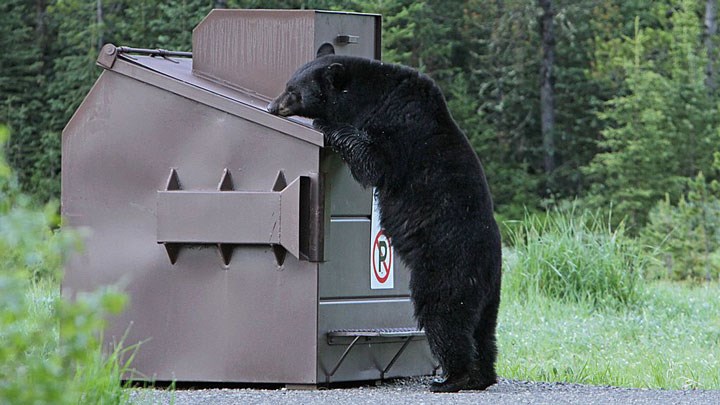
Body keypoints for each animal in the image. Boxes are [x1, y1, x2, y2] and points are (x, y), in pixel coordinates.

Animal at [268, 45, 500, 392]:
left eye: (294, 90)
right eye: (287, 83)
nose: (272, 106)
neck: (374, 95)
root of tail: (488, 265)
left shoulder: (400, 127)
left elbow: (374, 162)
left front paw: (327, 124)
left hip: (447, 267)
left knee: (444, 316)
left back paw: (452, 378)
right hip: (489, 293)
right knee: (484, 331)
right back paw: (483, 376)